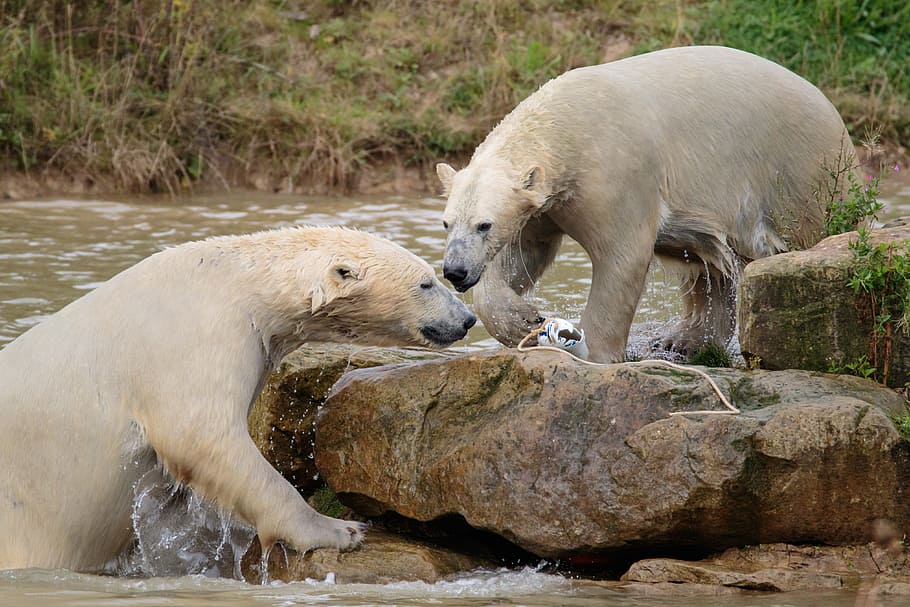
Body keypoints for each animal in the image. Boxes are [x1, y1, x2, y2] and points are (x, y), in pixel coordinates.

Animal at [0, 225, 476, 572]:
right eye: (426, 283)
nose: (467, 319)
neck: (234, 283)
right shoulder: (192, 338)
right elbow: (204, 438)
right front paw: (340, 529)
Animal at [437, 45, 854, 363]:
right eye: (446, 223)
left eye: (484, 224)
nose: (455, 271)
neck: (565, 124)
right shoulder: (546, 204)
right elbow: (523, 255)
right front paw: (524, 320)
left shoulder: (617, 173)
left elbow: (622, 257)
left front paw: (595, 354)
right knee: (709, 264)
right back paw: (682, 340)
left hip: (799, 173)